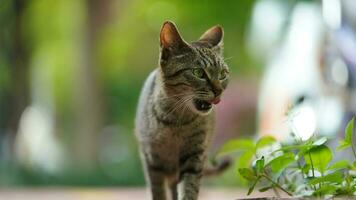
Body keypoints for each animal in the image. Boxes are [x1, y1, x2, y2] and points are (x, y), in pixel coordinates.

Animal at [135, 20, 229, 200]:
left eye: (222, 74)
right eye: (198, 72)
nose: (219, 90)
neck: (175, 122)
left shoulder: (194, 156)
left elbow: (189, 187)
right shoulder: (152, 160)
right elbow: (157, 192)